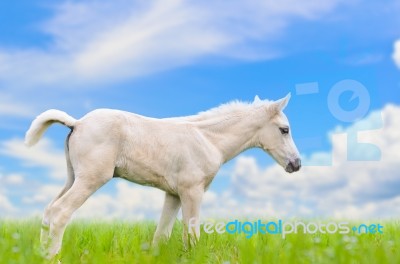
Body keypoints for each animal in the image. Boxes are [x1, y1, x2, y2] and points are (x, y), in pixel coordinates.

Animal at [25, 93, 300, 258]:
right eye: (284, 130)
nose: (296, 164)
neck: (208, 139)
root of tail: (78, 122)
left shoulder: (173, 194)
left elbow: (161, 234)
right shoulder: (192, 191)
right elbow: (192, 234)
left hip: (73, 177)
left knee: (48, 212)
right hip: (91, 179)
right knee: (60, 212)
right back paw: (53, 257)